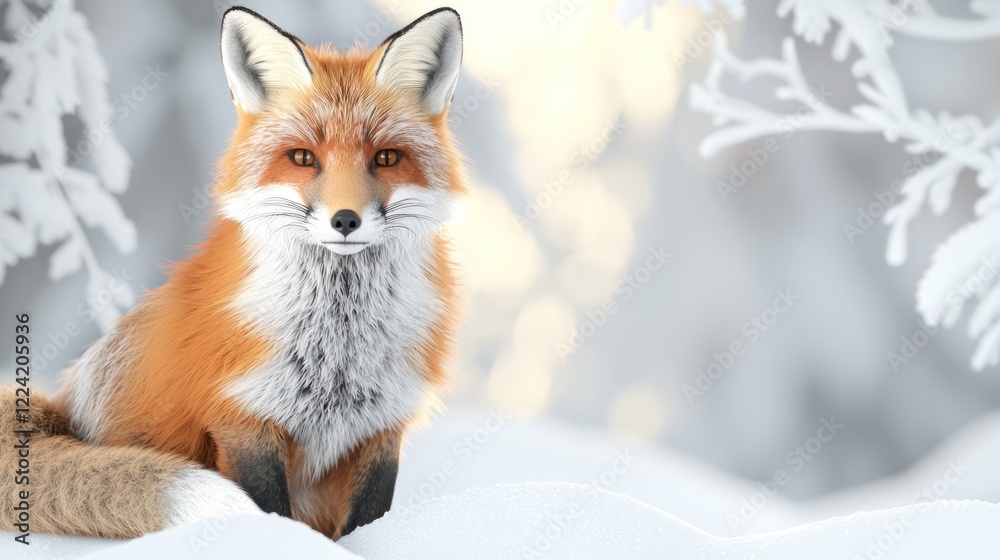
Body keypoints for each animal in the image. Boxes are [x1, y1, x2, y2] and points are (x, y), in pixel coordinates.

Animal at [1, 6, 465, 541]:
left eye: (386, 158)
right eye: (303, 158)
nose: (345, 220)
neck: (339, 350)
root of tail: (61, 408)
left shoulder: (382, 427)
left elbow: (367, 520)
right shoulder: (242, 420)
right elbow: (269, 510)